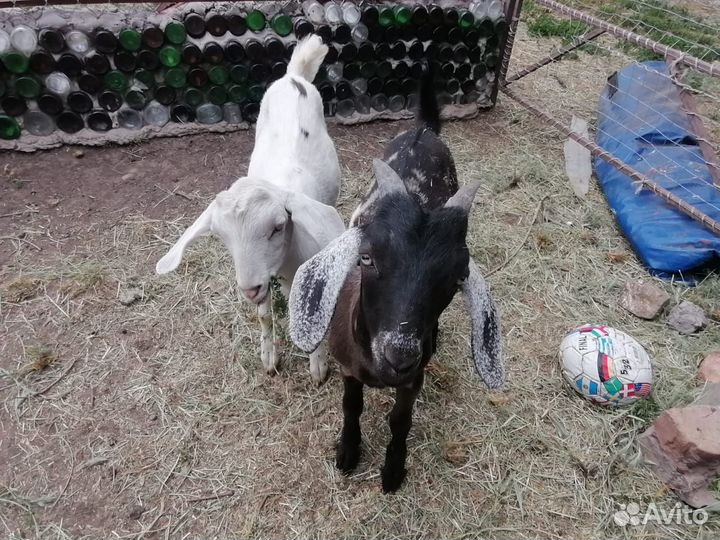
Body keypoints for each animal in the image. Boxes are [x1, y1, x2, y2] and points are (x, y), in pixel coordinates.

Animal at [156, 35, 344, 383]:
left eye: (278, 226)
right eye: (222, 238)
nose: (249, 288)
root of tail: (293, 76)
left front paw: (318, 366)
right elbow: (264, 317)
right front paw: (269, 358)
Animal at [288, 74, 504, 492]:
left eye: (456, 279)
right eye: (366, 258)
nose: (398, 355)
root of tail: (424, 130)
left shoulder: (413, 379)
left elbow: (400, 420)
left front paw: (393, 470)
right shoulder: (348, 368)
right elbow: (351, 406)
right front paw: (347, 452)